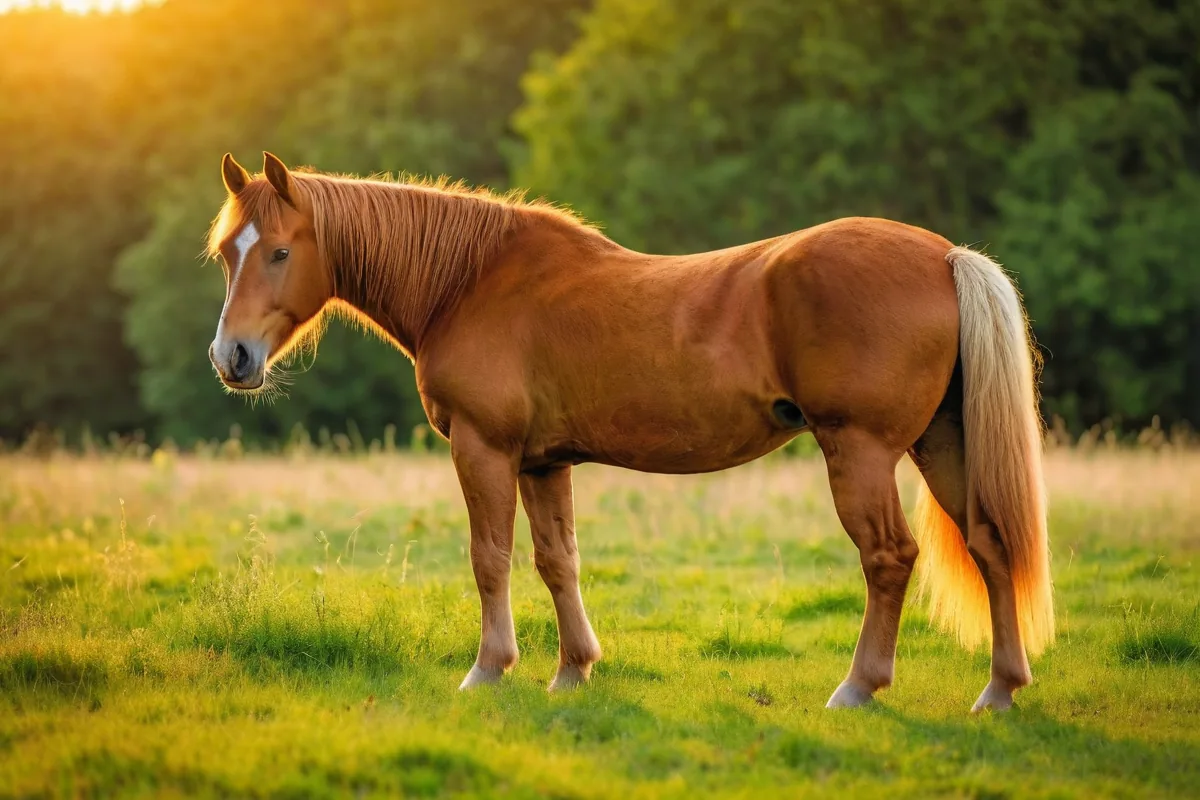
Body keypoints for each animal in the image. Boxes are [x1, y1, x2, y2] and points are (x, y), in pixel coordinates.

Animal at [207, 151, 1053, 713]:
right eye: (225, 255)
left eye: (278, 251)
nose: (231, 358)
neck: (469, 282)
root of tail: (944, 256)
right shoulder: (543, 463)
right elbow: (558, 562)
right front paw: (573, 669)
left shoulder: (484, 449)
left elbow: (490, 559)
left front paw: (490, 668)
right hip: (943, 443)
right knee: (990, 542)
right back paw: (1000, 689)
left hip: (862, 450)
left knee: (889, 558)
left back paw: (858, 687)